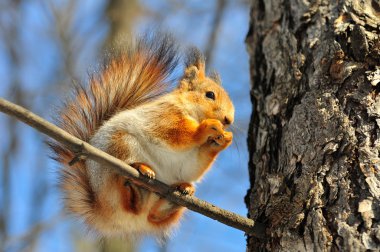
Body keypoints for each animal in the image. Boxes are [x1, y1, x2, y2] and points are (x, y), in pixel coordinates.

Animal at [49, 34, 235, 237]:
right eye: (210, 95)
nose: (229, 120)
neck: (191, 112)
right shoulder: (163, 117)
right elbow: (175, 134)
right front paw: (207, 127)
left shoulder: (192, 157)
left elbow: (196, 164)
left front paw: (224, 140)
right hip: (121, 144)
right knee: (124, 193)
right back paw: (139, 173)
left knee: (152, 214)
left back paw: (177, 193)